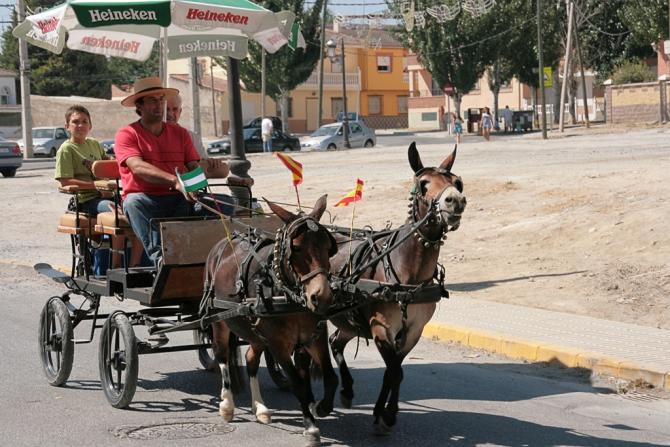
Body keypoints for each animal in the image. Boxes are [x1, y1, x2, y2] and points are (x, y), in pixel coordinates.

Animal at [205, 195, 339, 446]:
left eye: (328, 246)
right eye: (296, 248)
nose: (322, 295)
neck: (287, 294)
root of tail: (220, 246)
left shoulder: (315, 337)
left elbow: (331, 377)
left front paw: (321, 407)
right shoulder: (278, 344)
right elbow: (298, 383)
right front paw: (311, 428)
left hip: (255, 331)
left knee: (251, 360)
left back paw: (260, 408)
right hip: (219, 319)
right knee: (222, 354)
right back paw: (227, 405)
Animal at [328, 142, 466, 433]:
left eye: (457, 182)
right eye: (424, 184)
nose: (456, 201)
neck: (408, 277)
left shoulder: (413, 330)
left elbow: (393, 373)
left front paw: (384, 413)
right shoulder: (381, 327)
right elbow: (394, 371)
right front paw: (387, 415)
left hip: (349, 319)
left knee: (336, 342)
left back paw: (346, 389)